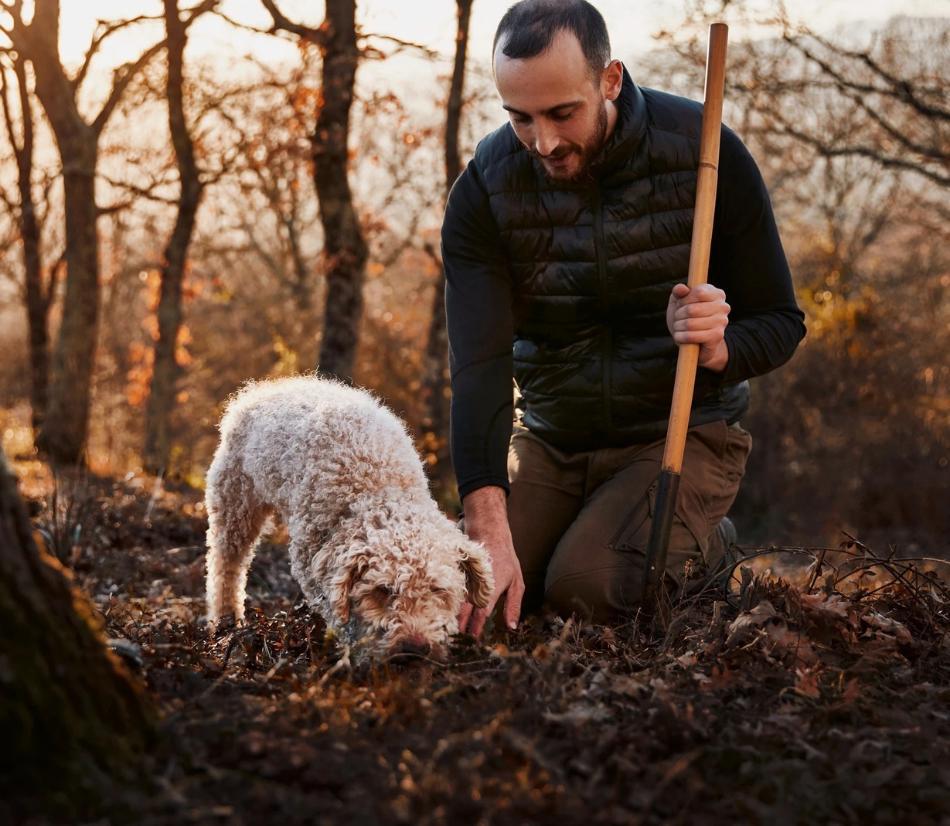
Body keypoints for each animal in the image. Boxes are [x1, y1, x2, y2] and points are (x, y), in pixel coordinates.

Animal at [205, 374, 494, 656]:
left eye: (437, 589)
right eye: (382, 590)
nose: (414, 649)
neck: (380, 486)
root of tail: (260, 390)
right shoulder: (311, 559)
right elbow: (338, 609)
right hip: (235, 503)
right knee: (226, 567)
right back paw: (225, 622)